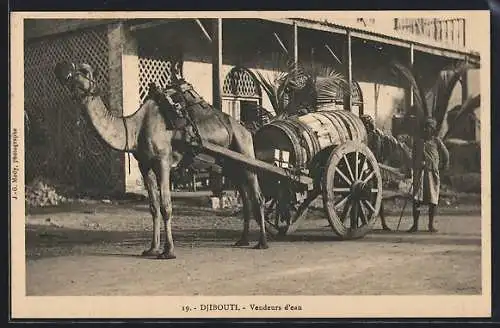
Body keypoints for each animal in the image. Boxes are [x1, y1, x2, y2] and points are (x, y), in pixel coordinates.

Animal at [53, 61, 270, 258]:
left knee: (257, 196)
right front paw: (151, 249)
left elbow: (166, 206)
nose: (61, 67)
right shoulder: (144, 165)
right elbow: (153, 207)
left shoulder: (163, 161)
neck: (135, 128)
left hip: (245, 151)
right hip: (230, 166)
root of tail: (246, 129)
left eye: (84, 70)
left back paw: (262, 242)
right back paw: (242, 240)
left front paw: (169, 251)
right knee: (245, 196)